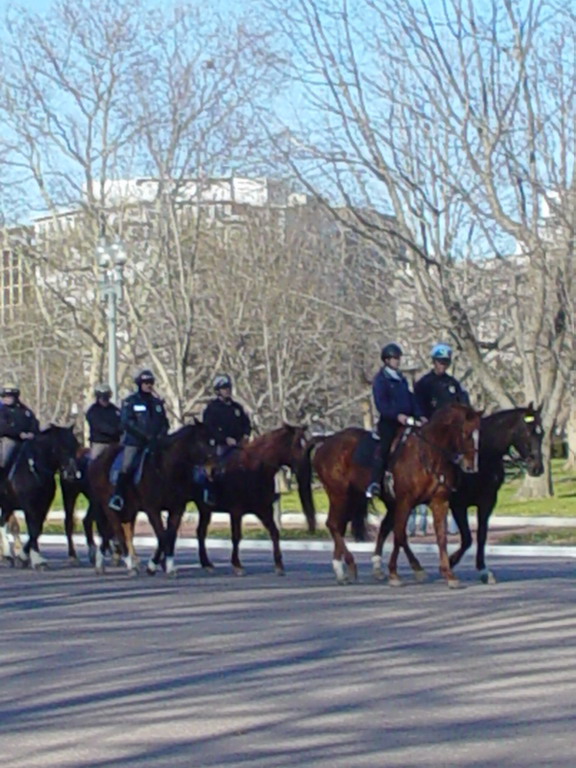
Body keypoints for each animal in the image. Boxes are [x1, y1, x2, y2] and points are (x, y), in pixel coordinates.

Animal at [0, 426, 80, 568]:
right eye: (61, 447)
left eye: (76, 446)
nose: (72, 474)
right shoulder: (29, 507)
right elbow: (33, 529)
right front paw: (37, 560)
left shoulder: (43, 506)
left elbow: (37, 529)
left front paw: (24, 557)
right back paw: (7, 555)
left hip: (7, 505)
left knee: (2, 523)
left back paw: (7, 555)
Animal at [89, 420, 215, 576]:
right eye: (202, 442)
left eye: (214, 441)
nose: (213, 469)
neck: (166, 469)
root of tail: (98, 459)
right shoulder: (152, 509)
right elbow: (162, 535)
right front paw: (154, 565)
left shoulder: (177, 509)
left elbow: (170, 535)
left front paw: (167, 565)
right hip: (109, 508)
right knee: (118, 531)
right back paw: (130, 565)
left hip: (127, 510)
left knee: (109, 533)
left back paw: (100, 562)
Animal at [191, 426, 310, 576]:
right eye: (296, 445)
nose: (305, 467)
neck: (253, 469)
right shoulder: (236, 511)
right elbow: (236, 536)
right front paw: (237, 565)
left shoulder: (264, 510)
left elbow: (274, 533)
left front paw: (279, 565)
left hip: (205, 510)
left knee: (200, 532)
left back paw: (206, 563)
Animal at [296, 402, 482, 588]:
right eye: (465, 433)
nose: (471, 467)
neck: (429, 453)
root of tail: (327, 440)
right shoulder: (405, 502)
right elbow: (400, 534)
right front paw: (411, 570)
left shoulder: (438, 502)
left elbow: (440, 536)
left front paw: (448, 574)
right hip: (339, 495)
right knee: (333, 524)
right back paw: (349, 565)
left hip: (354, 498)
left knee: (342, 526)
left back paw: (343, 570)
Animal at [450, 402, 544, 584]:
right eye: (528, 432)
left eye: (542, 433)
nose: (537, 468)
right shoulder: (458, 505)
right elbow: (467, 538)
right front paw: (450, 561)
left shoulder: (487, 501)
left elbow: (481, 535)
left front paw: (483, 570)